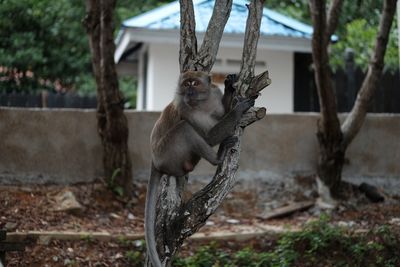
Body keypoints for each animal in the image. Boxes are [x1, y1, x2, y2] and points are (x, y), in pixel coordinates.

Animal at [145, 71, 255, 267]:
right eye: (186, 84)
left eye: (194, 83)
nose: (188, 92)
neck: (202, 102)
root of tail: (154, 159)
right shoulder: (185, 109)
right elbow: (209, 137)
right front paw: (238, 109)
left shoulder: (214, 95)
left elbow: (221, 115)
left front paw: (229, 87)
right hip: (167, 153)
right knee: (185, 129)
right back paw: (217, 158)